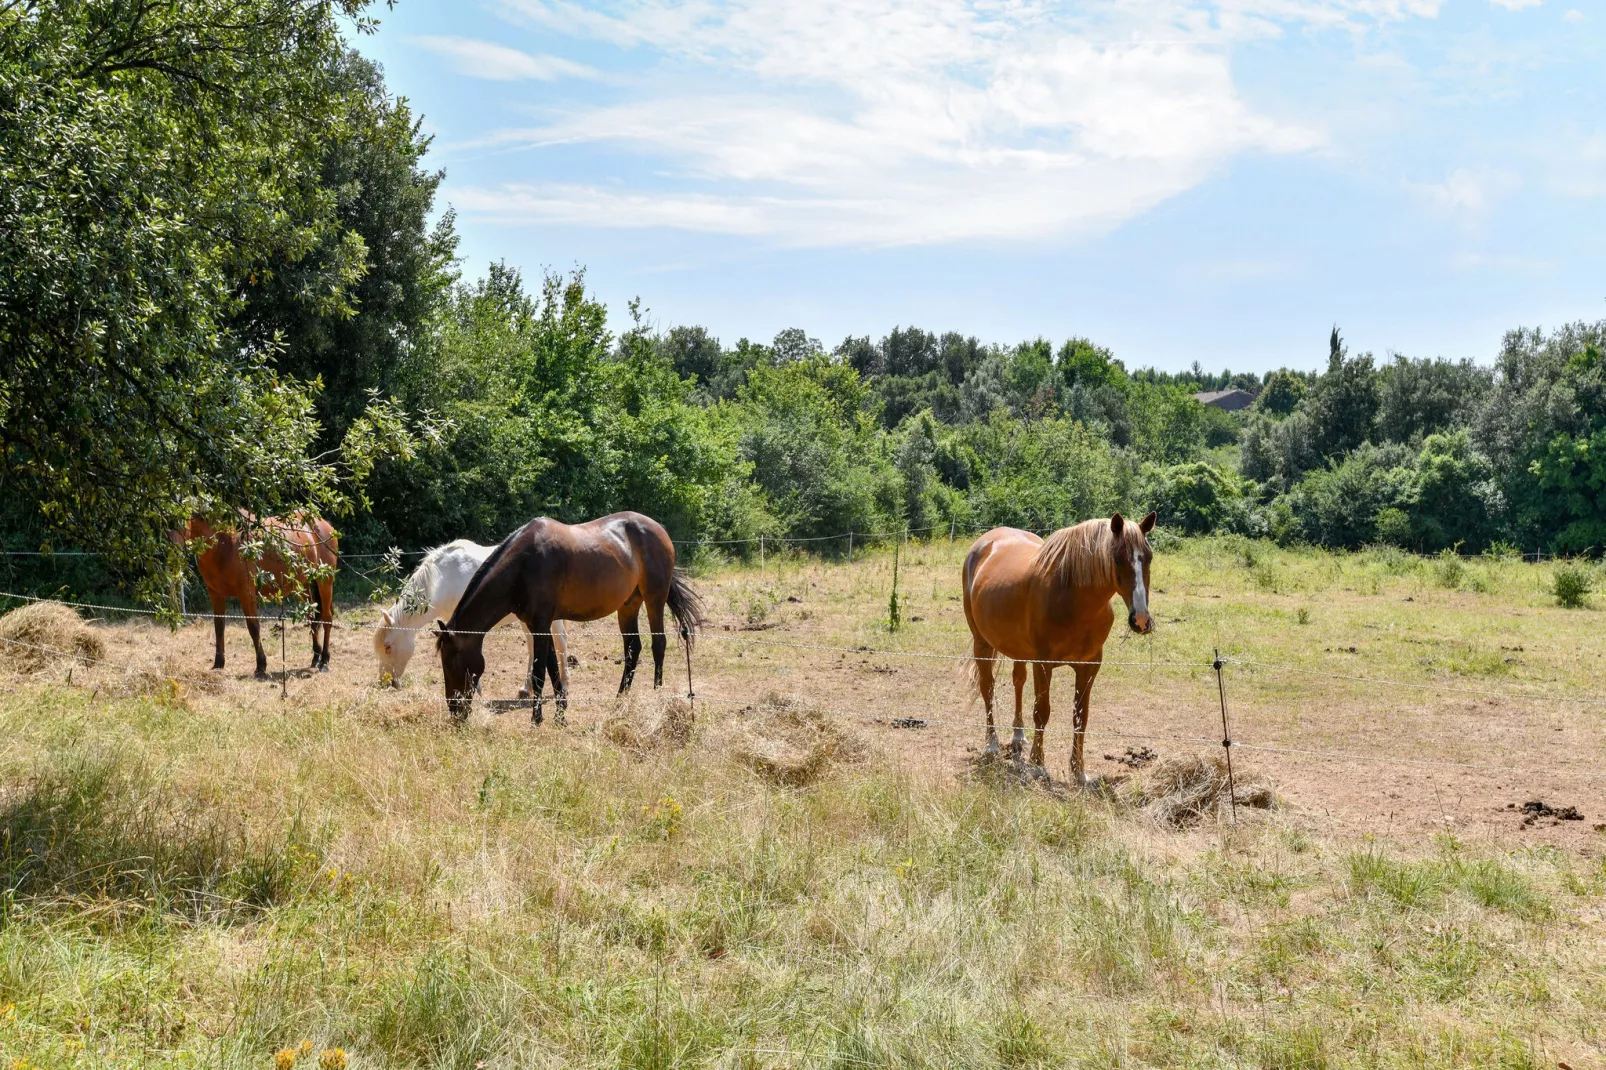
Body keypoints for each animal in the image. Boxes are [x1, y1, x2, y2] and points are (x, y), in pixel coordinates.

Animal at [184, 510, 338, 674]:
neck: (224, 543)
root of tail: (324, 524)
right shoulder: (215, 594)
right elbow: (219, 626)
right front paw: (218, 663)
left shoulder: (246, 593)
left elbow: (253, 627)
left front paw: (261, 666)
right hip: (303, 586)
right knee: (312, 616)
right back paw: (316, 658)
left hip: (325, 582)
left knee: (327, 618)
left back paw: (324, 661)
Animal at [372, 536, 568, 687]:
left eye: (388, 647)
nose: (385, 682)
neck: (443, 579)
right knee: (532, 645)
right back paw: (526, 688)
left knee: (560, 641)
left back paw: (564, 683)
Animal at [433, 510, 703, 726]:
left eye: (451, 663)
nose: (454, 711)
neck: (522, 567)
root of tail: (660, 529)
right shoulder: (539, 624)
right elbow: (553, 669)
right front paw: (560, 715)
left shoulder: (541, 625)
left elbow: (539, 673)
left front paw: (537, 719)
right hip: (628, 605)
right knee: (633, 648)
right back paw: (620, 700)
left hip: (654, 598)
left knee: (659, 644)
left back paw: (657, 696)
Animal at [963, 507, 1156, 784]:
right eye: (1118, 559)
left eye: (1148, 557)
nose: (1140, 619)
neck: (1074, 599)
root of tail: (984, 543)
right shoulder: (1043, 664)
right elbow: (1042, 712)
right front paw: (1038, 766)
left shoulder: (1089, 667)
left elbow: (1081, 716)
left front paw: (1079, 771)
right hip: (982, 643)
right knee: (987, 687)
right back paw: (991, 746)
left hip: (1018, 650)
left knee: (1017, 681)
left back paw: (1018, 737)